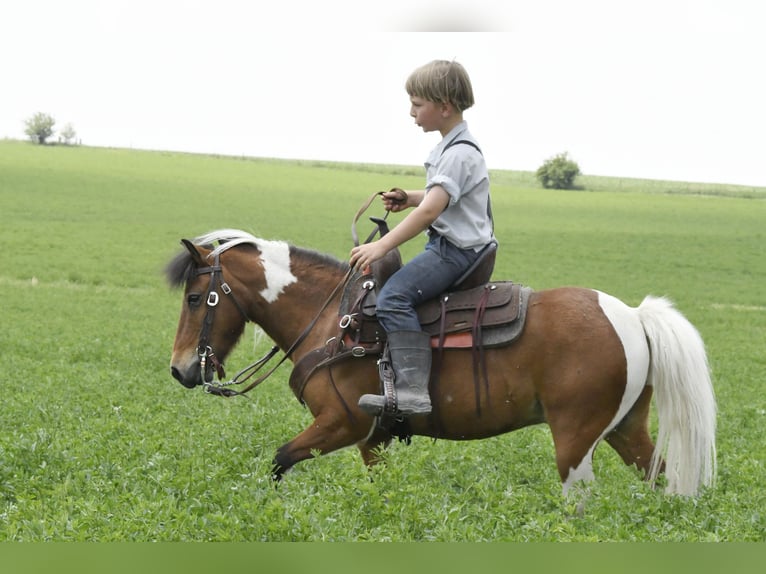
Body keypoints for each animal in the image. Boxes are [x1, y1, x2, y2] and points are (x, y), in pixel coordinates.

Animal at [166, 228, 716, 497]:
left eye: (195, 298)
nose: (179, 369)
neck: (334, 320)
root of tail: (634, 317)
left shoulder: (342, 423)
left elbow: (279, 460)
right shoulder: (375, 438)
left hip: (575, 441)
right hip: (626, 428)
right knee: (660, 477)